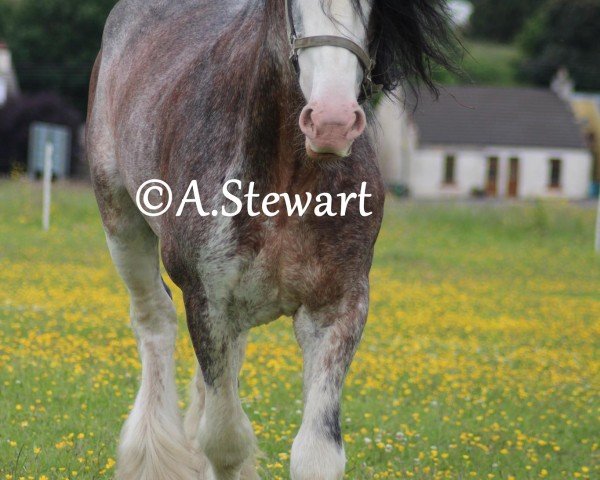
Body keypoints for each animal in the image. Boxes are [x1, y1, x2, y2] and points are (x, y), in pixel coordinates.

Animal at [83, 0, 450, 480]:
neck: (288, 178)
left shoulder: (336, 307)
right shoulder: (208, 301)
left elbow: (316, 453)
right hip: (122, 224)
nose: (331, 122)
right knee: (154, 321)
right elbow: (225, 442)